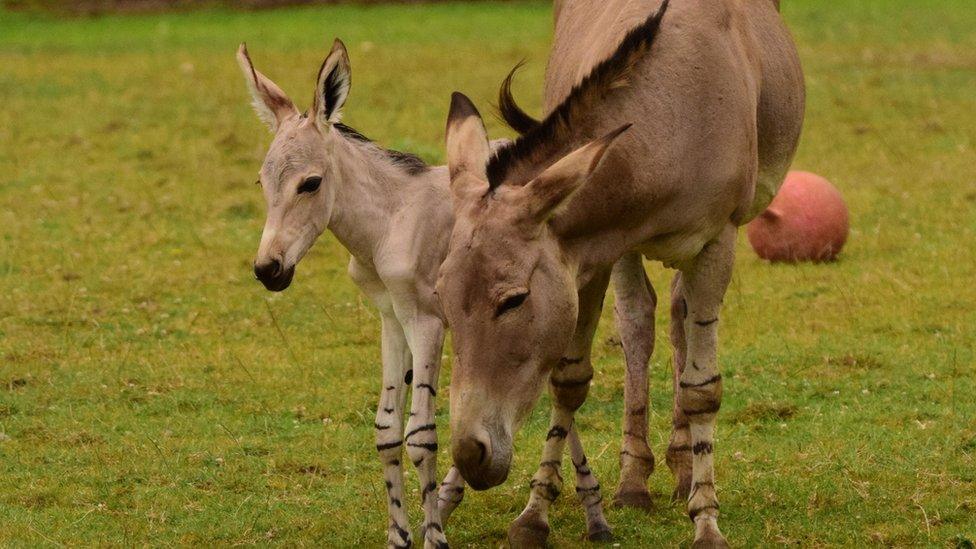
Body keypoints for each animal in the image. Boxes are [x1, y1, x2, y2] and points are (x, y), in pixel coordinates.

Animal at [237, 37, 660, 544]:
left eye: (311, 183)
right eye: (262, 182)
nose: (268, 270)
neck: (391, 219)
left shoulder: (426, 322)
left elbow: (421, 434)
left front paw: (434, 535)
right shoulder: (391, 317)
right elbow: (386, 429)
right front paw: (400, 534)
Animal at [438, 2, 804, 544]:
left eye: (514, 300)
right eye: (441, 300)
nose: (467, 455)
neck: (671, 118)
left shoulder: (717, 243)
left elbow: (702, 389)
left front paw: (706, 519)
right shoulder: (588, 250)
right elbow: (570, 380)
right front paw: (534, 514)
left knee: (678, 316)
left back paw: (683, 469)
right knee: (641, 323)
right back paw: (635, 480)